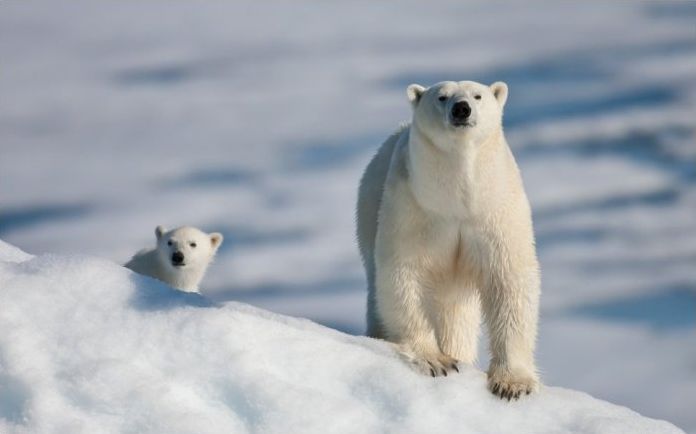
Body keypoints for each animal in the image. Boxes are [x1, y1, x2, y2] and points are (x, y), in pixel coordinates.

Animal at [356, 79, 540, 398]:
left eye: (477, 96)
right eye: (441, 97)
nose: (461, 109)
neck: (457, 199)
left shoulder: (495, 208)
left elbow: (509, 279)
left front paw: (512, 383)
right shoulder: (414, 206)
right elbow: (404, 274)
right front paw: (436, 361)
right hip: (369, 211)